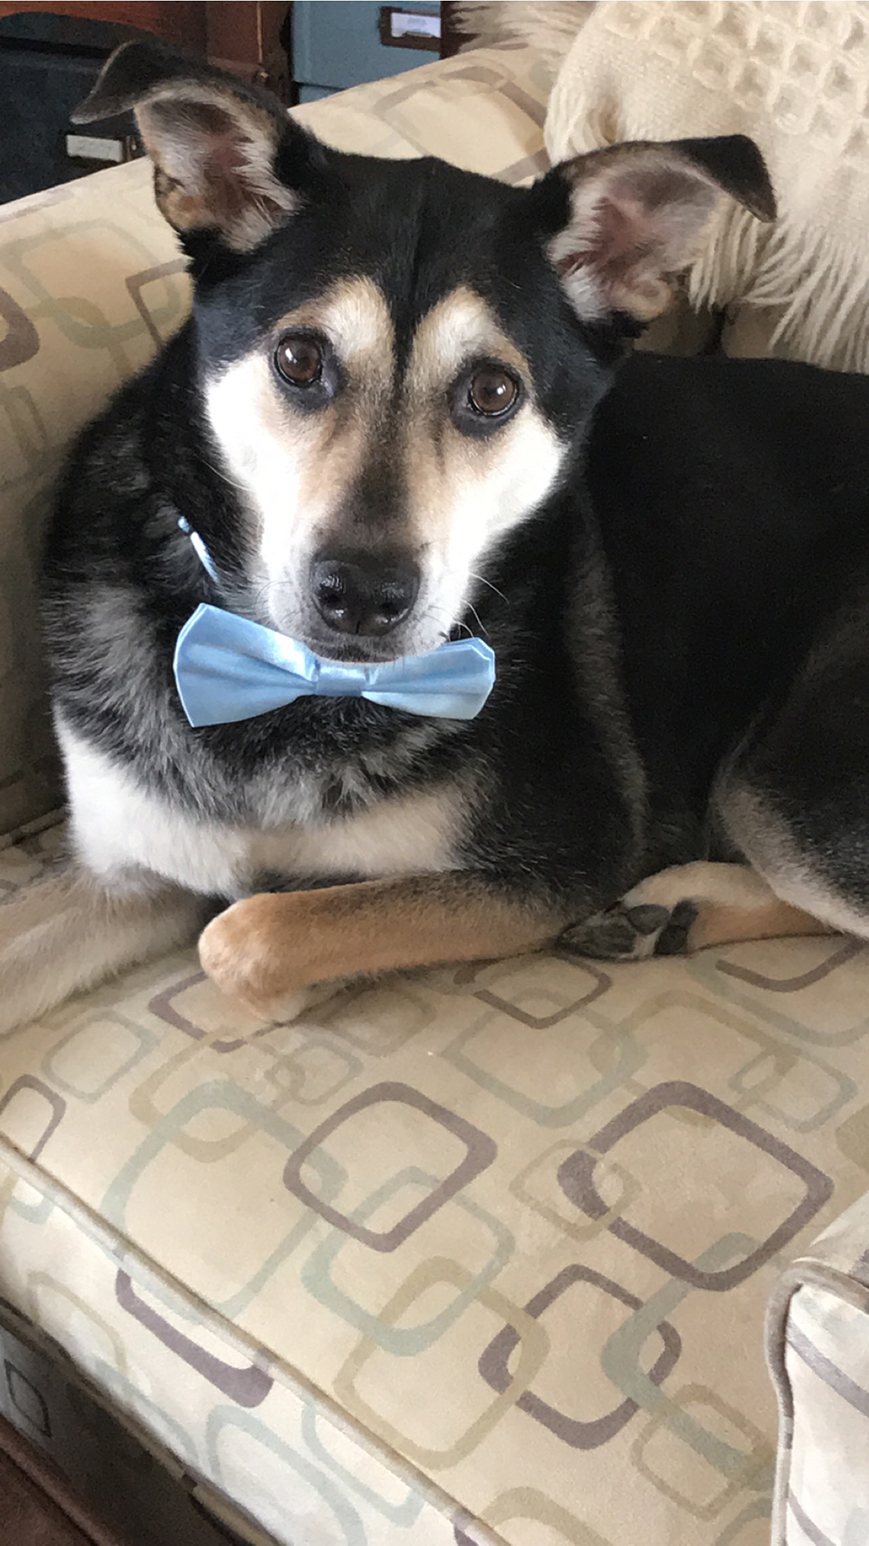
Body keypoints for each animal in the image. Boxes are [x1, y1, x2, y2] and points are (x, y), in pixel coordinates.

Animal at [3, 36, 859, 1032]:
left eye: (491, 391)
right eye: (299, 358)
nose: (362, 597)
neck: (295, 686)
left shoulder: (556, 860)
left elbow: (249, 934)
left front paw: (301, 968)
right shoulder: (129, 863)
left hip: (782, 788)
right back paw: (668, 913)